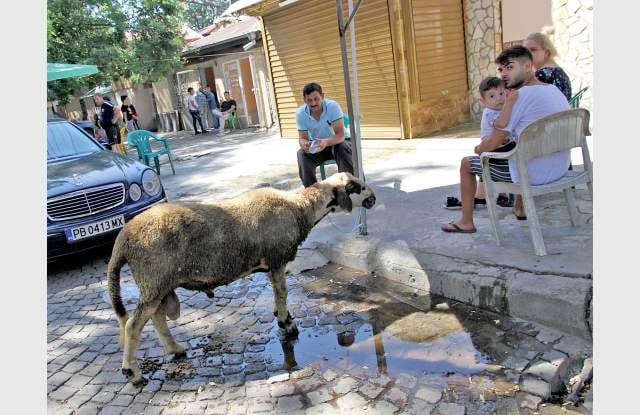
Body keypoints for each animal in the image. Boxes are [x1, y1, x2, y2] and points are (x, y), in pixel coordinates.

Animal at [106, 171, 376, 384]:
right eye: (355, 186)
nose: (373, 199)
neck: (299, 208)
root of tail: (123, 239)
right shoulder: (277, 259)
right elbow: (282, 293)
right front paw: (287, 325)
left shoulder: (271, 266)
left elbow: (277, 293)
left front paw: (282, 317)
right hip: (154, 278)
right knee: (133, 324)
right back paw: (132, 372)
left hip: (157, 282)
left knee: (157, 318)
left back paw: (175, 349)